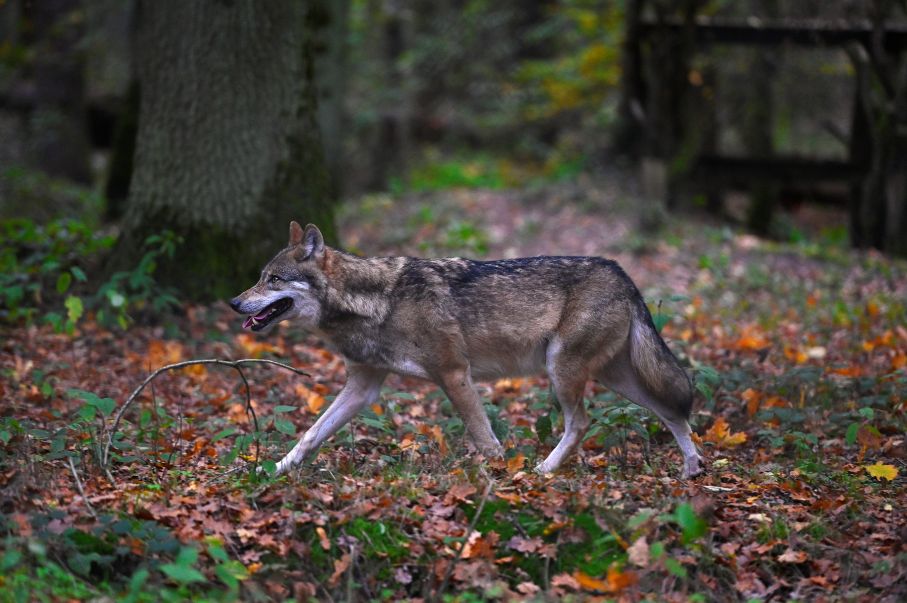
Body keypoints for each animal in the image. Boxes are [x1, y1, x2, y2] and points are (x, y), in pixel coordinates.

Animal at [229, 222, 703, 478]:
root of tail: (621, 270)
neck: (375, 302)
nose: (234, 302)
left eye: (273, 279)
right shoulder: (364, 386)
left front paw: (499, 479)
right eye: (259, 277)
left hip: (564, 369)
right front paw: (268, 474)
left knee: (583, 422)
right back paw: (692, 469)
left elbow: (484, 438)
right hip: (616, 377)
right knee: (672, 410)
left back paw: (543, 472)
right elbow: (310, 435)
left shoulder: (455, 374)